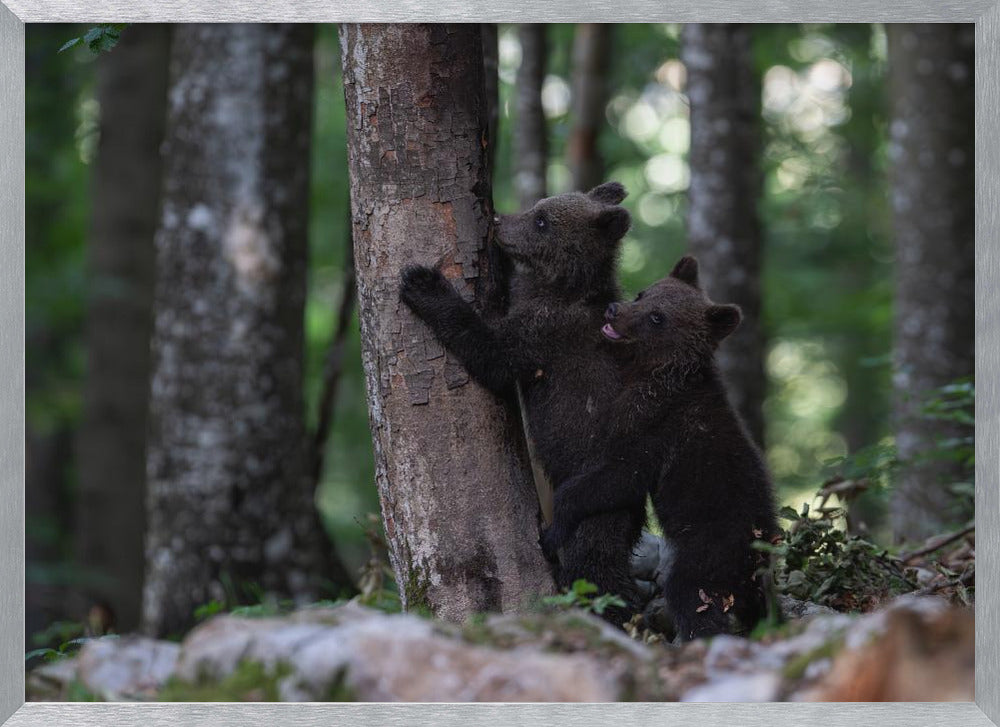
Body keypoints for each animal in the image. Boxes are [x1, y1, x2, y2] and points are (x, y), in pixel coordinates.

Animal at [399, 182, 647, 626]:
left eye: (543, 221)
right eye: (538, 208)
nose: (499, 222)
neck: (559, 286)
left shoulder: (543, 335)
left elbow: (492, 354)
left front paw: (423, 282)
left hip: (597, 492)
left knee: (594, 558)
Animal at [539, 256, 779, 641]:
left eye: (657, 317)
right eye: (643, 293)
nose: (614, 309)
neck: (657, 374)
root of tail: (756, 563)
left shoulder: (655, 428)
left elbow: (617, 477)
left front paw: (553, 528)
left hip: (709, 551)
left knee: (690, 594)